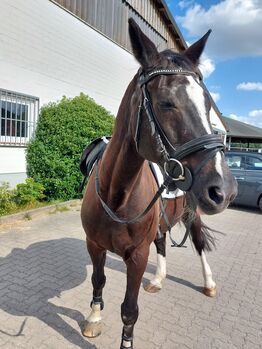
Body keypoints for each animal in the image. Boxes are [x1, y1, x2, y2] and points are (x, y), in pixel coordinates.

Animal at [80, 18, 237, 348]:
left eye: (208, 106)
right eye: (166, 103)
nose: (225, 191)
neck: (116, 195)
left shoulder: (138, 256)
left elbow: (129, 310)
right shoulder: (94, 245)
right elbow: (98, 280)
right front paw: (94, 317)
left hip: (192, 215)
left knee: (199, 243)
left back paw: (208, 283)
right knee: (163, 241)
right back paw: (158, 279)